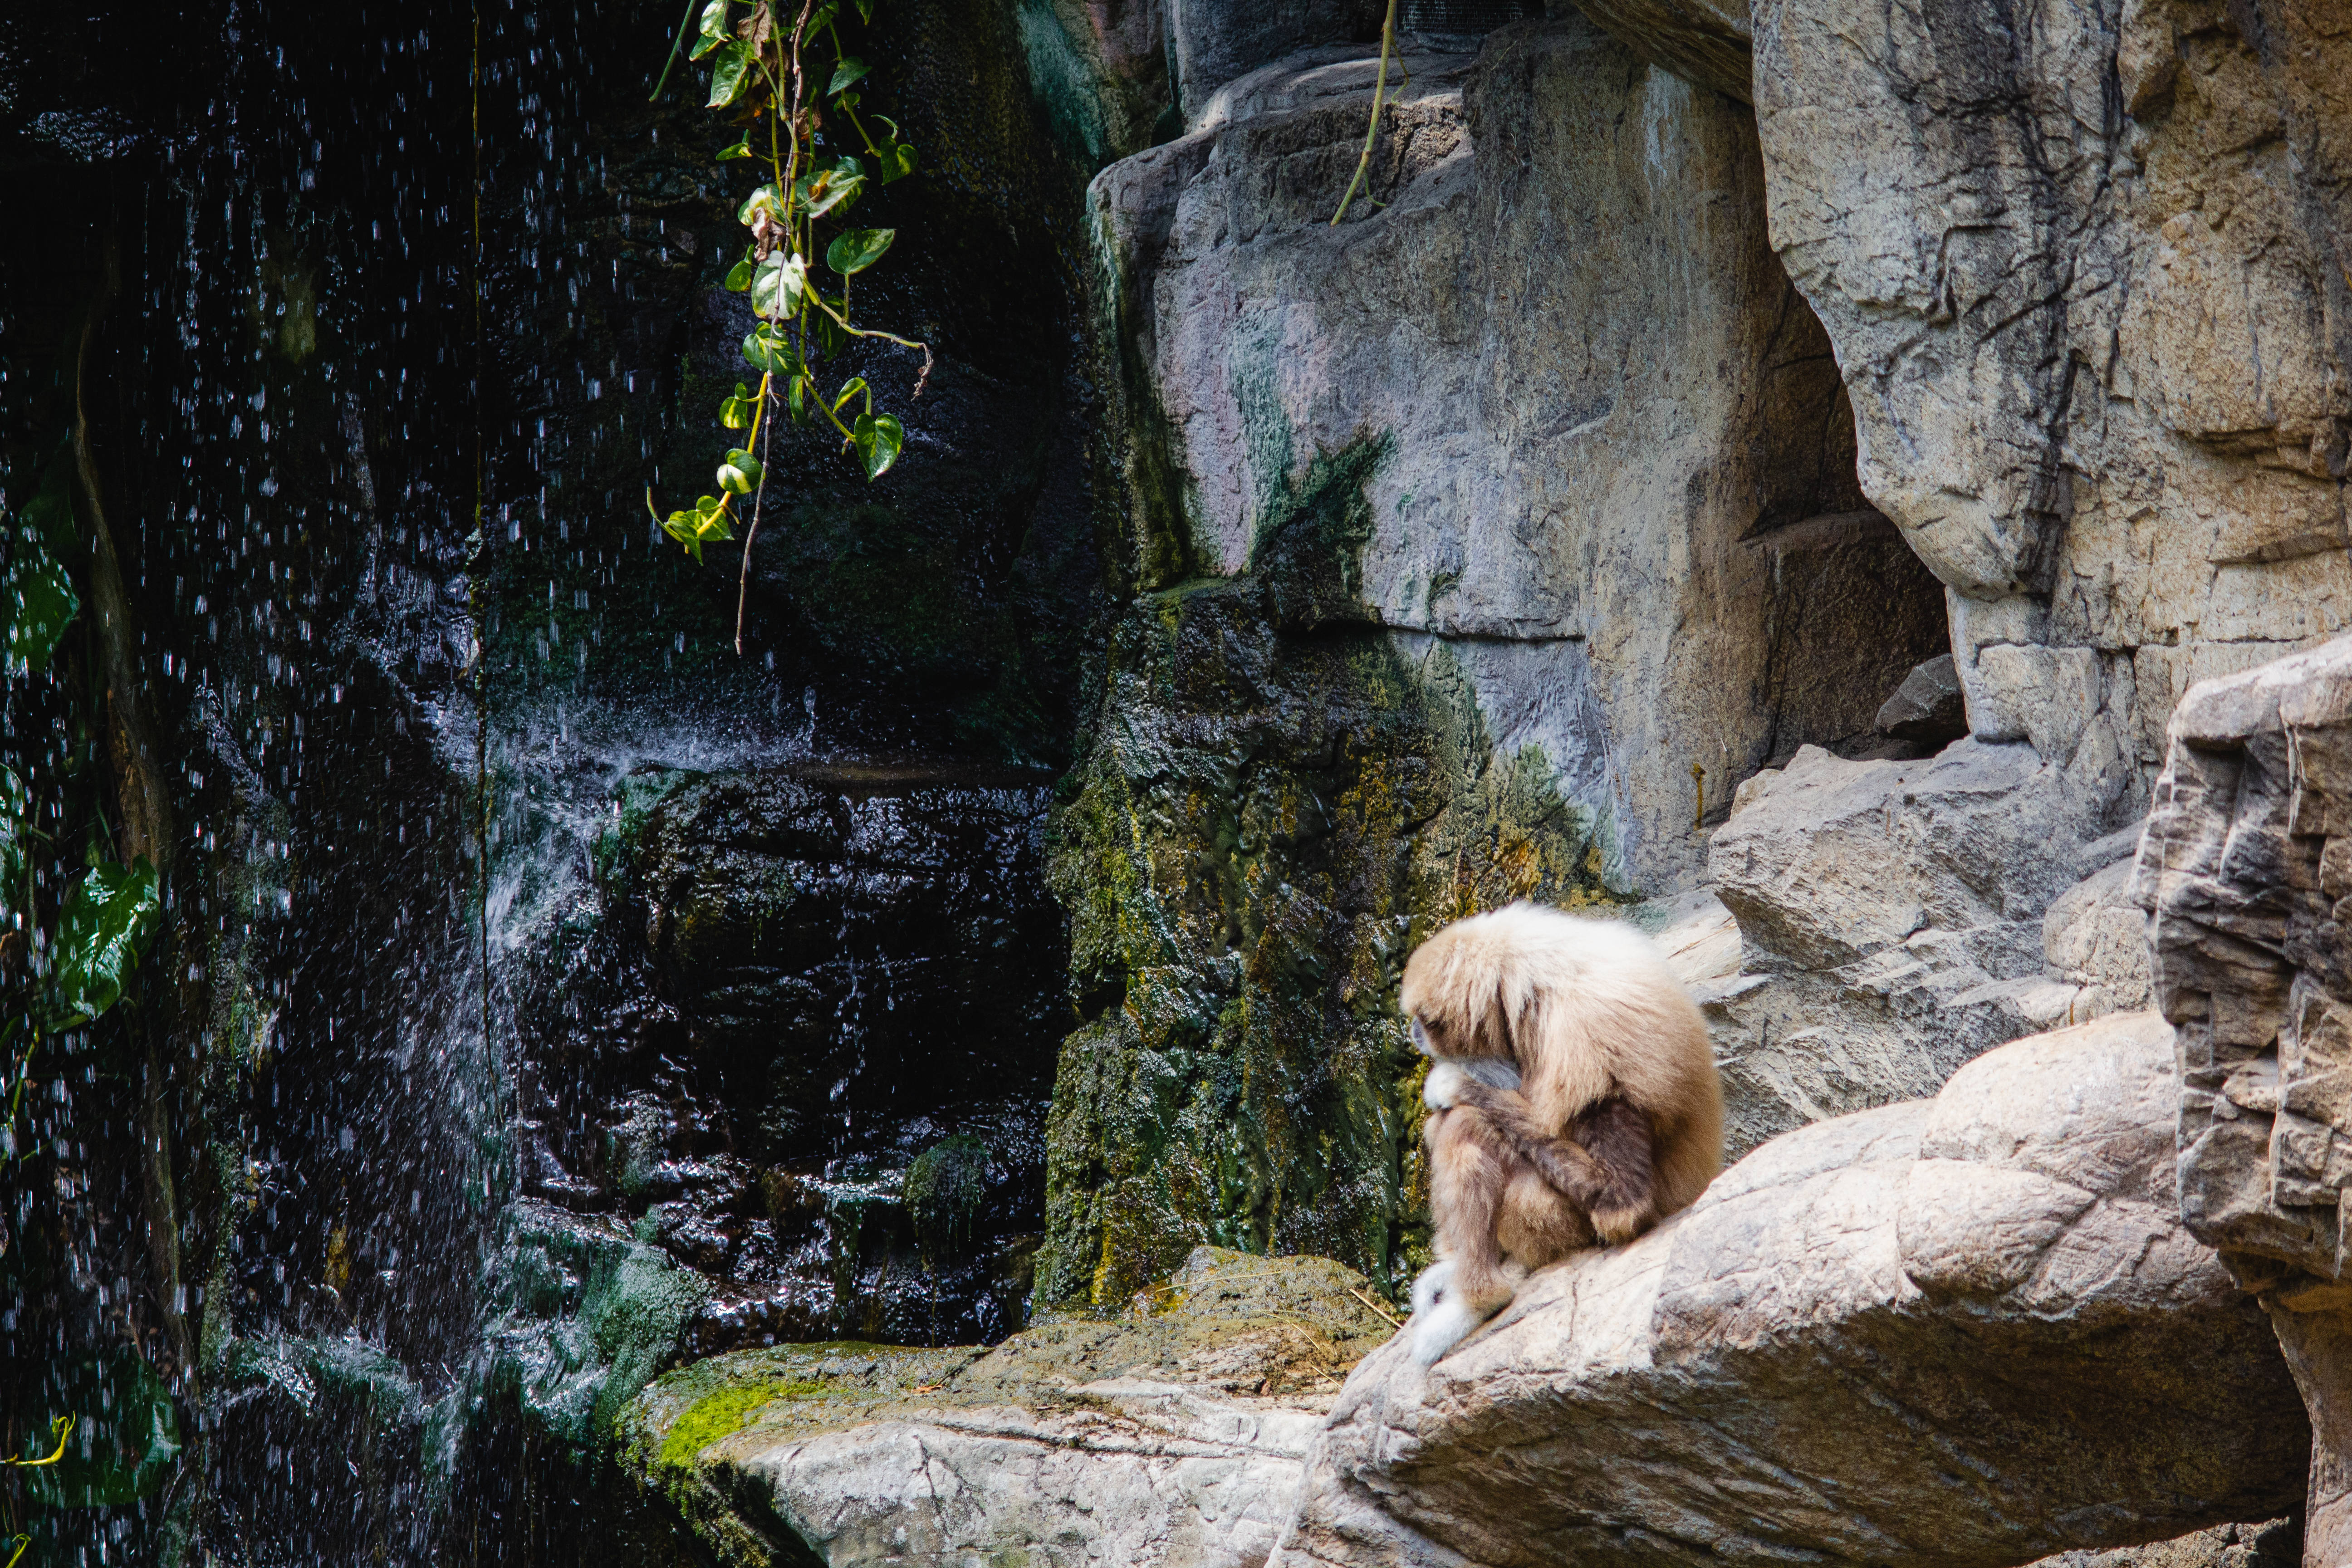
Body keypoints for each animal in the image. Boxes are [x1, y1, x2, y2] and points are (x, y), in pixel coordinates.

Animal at [1399, 901, 1723, 1363]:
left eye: (1423, 1021)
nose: (1412, 1032)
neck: (1539, 984)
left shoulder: (1589, 1037)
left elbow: (1623, 1200)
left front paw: (1455, 1081)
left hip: (1548, 1217)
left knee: (1465, 1124)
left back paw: (1479, 1302)